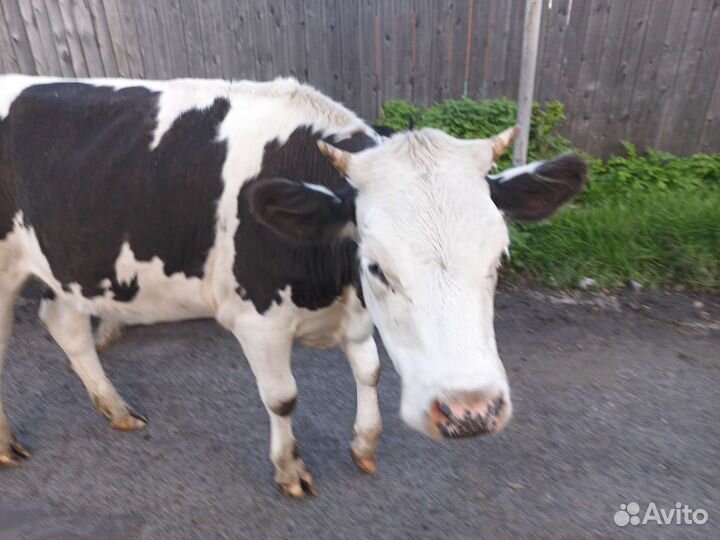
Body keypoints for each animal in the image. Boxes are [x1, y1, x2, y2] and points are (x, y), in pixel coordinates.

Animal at [0, 75, 587, 497]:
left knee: (64, 324)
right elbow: (282, 398)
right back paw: (8, 443)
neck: (333, 285)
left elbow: (370, 371)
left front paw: (365, 444)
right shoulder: (255, 320)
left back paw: (116, 409)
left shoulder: (355, 317)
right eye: (376, 266)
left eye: (499, 258)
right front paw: (290, 470)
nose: (470, 413)